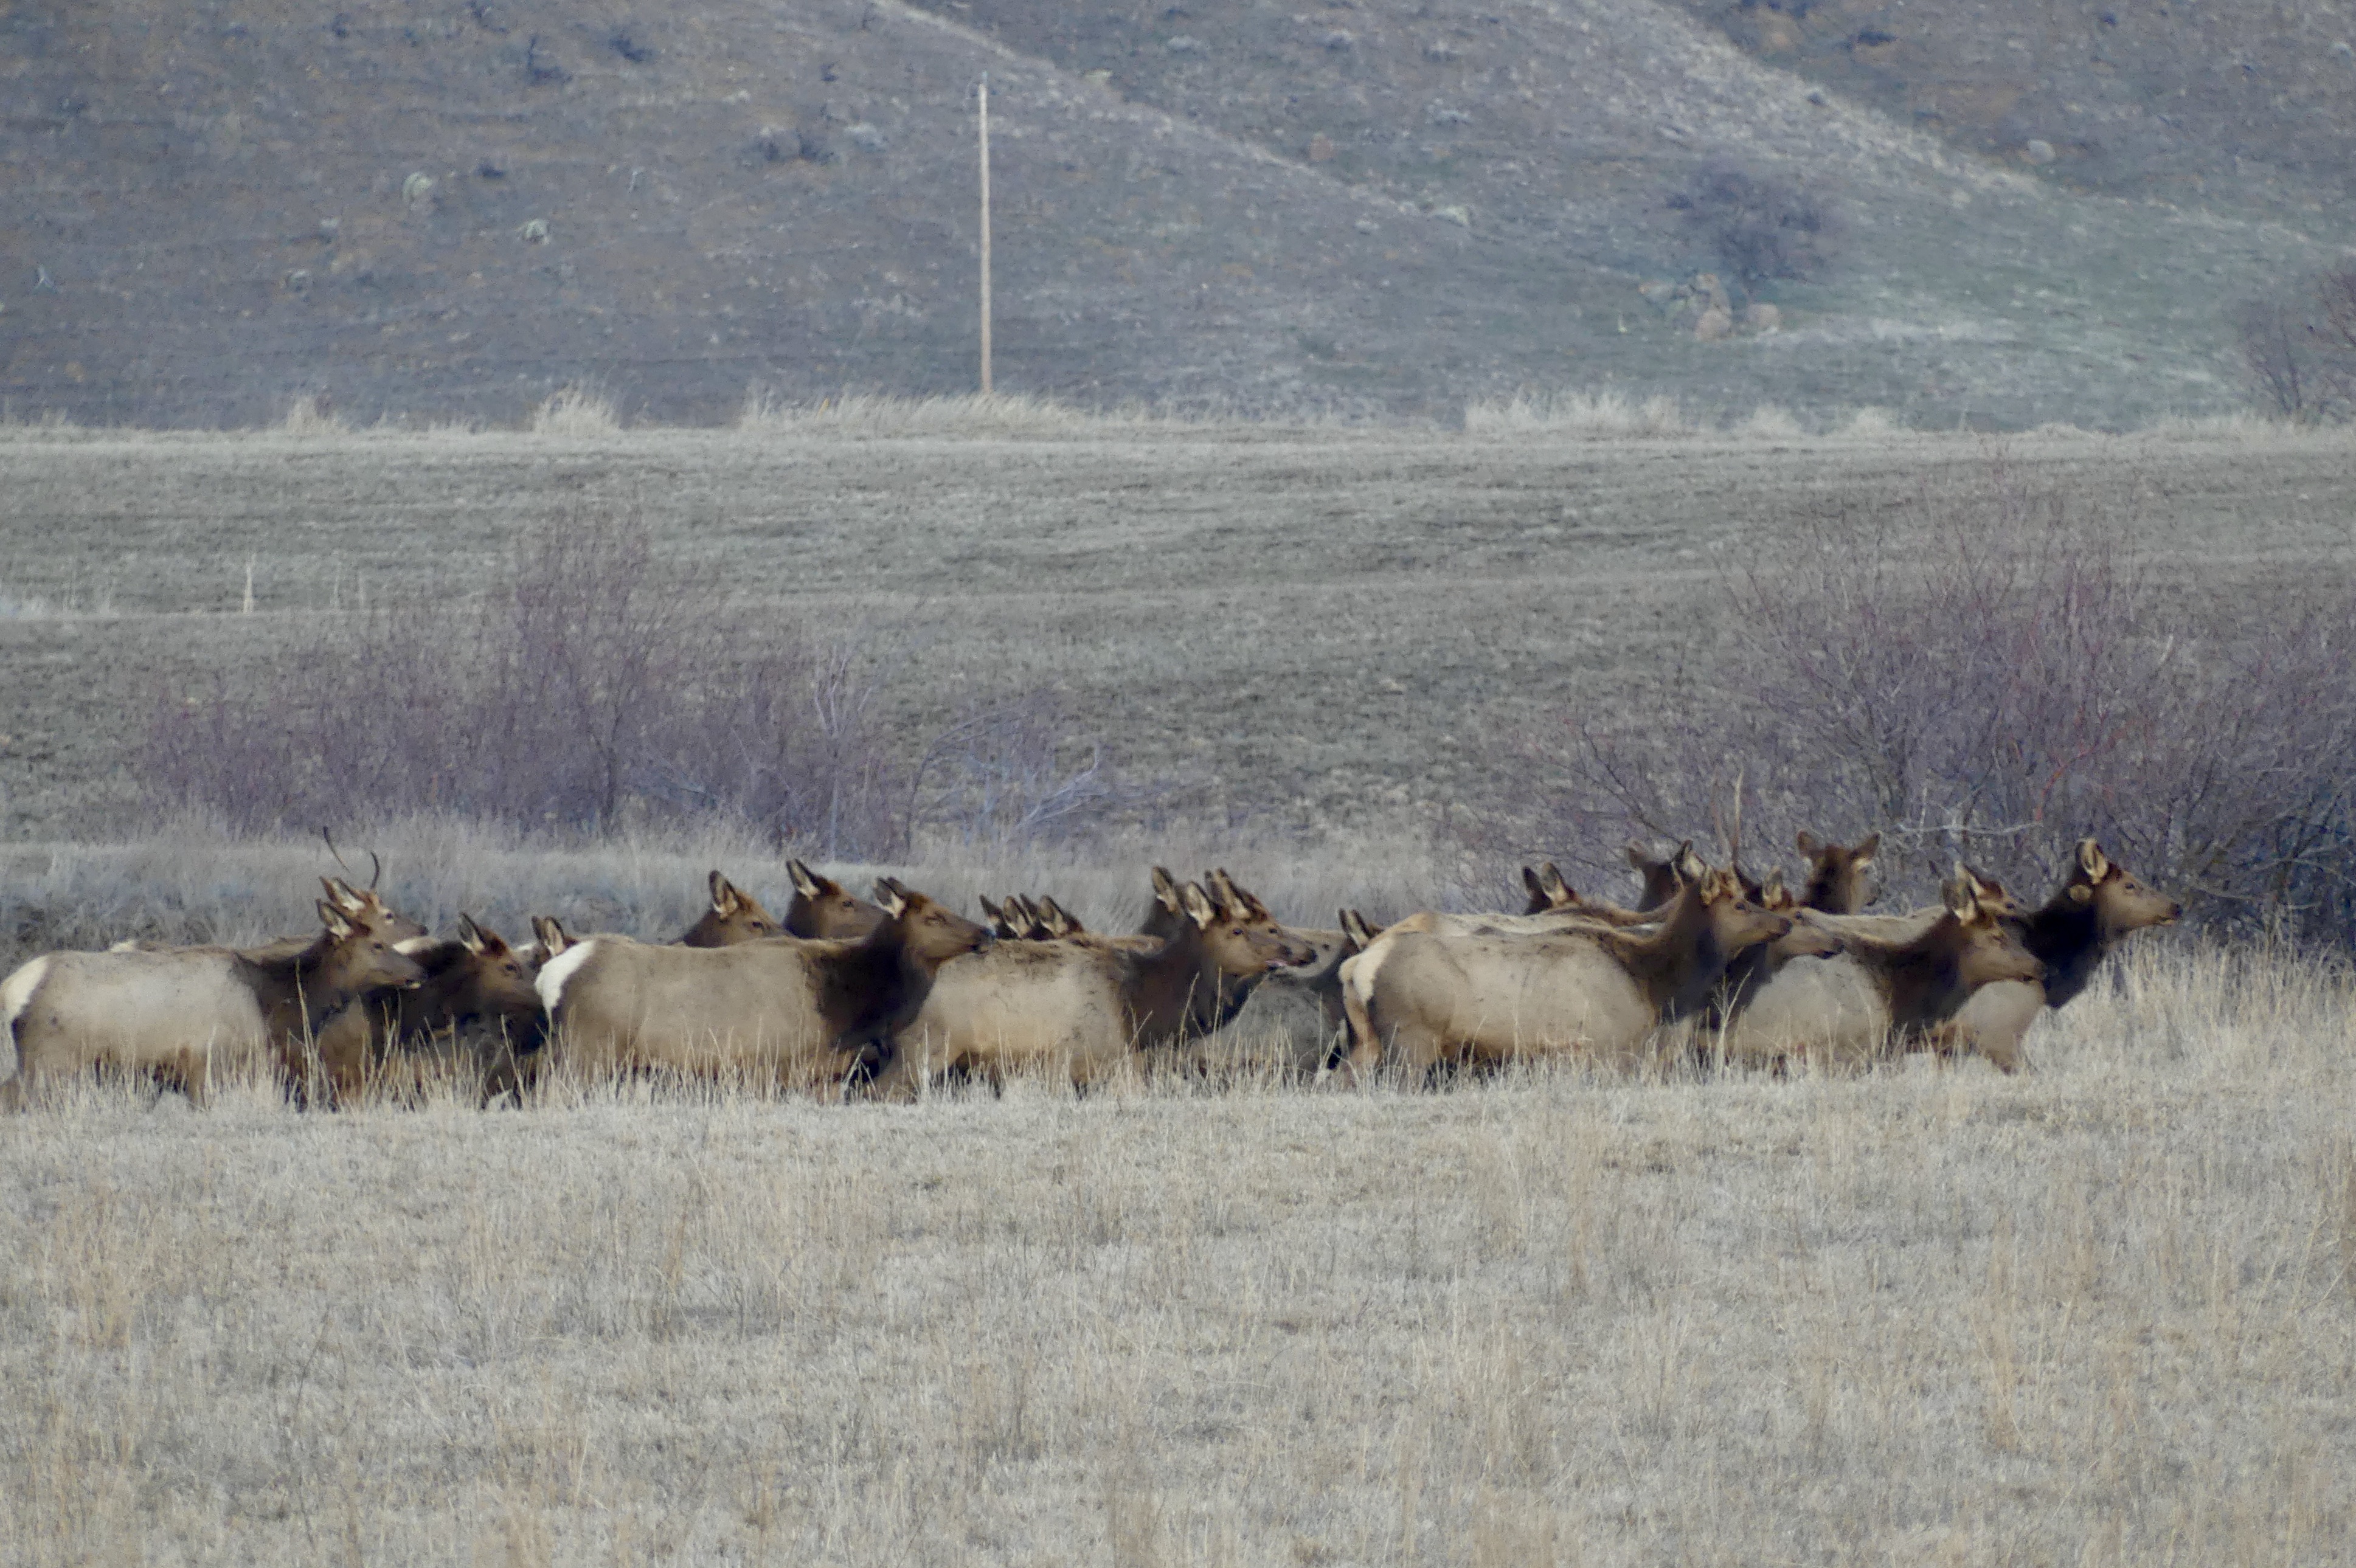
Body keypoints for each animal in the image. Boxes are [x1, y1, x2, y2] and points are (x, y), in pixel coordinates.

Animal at [3, 902, 426, 1108]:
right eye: (377, 944)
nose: (418, 969)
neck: (271, 1005)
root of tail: (14, 989)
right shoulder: (210, 1065)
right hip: (49, 1062)